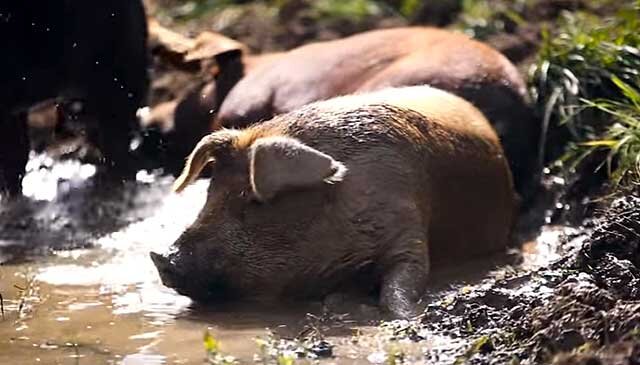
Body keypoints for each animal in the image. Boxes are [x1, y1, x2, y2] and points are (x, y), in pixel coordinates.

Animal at [151, 84, 520, 318]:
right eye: (210, 193)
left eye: (251, 201)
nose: (162, 257)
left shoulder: (409, 223)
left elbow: (403, 282)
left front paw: (407, 313)